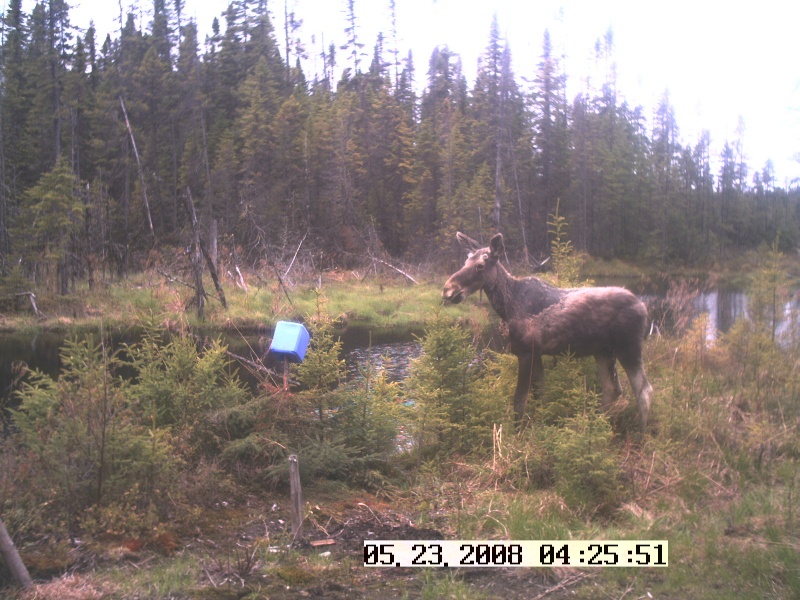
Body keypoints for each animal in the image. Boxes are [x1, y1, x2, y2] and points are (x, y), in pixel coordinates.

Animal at [440, 232, 652, 428]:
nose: (448, 290)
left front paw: (517, 434)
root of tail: (644, 308)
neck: (506, 307)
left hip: (629, 347)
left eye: (480, 266)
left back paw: (643, 433)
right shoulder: (537, 353)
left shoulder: (525, 352)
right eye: (465, 261)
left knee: (644, 391)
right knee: (612, 389)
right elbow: (540, 395)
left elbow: (519, 402)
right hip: (603, 351)